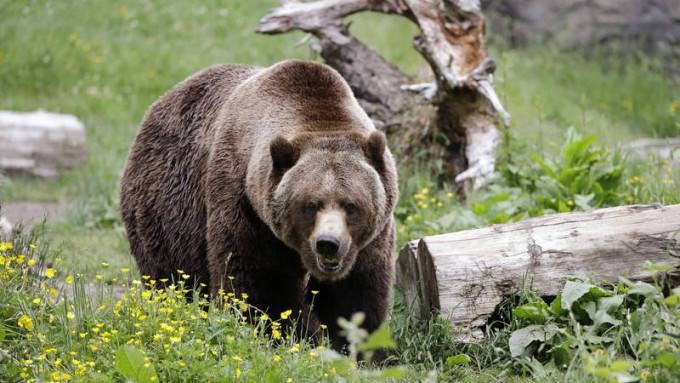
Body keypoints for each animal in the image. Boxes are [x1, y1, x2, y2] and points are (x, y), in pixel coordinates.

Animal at [119, 59, 398, 352]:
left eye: (351, 205)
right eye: (311, 204)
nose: (328, 243)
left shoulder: (370, 239)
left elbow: (355, 295)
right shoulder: (245, 204)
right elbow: (258, 285)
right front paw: (290, 336)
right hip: (169, 209)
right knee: (172, 275)